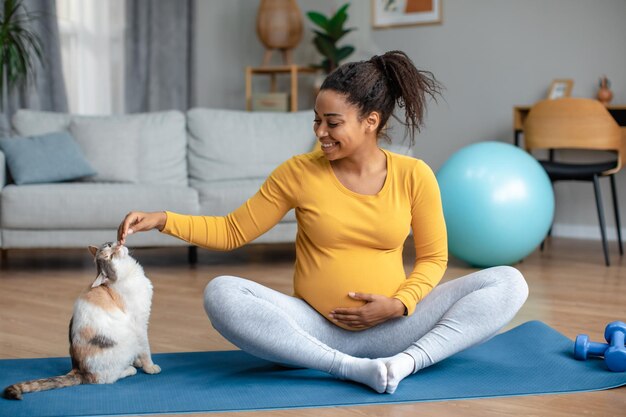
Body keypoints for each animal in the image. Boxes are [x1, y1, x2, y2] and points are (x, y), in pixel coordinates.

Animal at [3, 242, 160, 398]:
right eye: (110, 256)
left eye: (109, 245)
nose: (115, 245)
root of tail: (79, 370)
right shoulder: (139, 324)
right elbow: (145, 349)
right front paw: (149, 366)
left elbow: (140, 350)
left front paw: (138, 361)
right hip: (126, 343)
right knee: (106, 378)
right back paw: (129, 369)